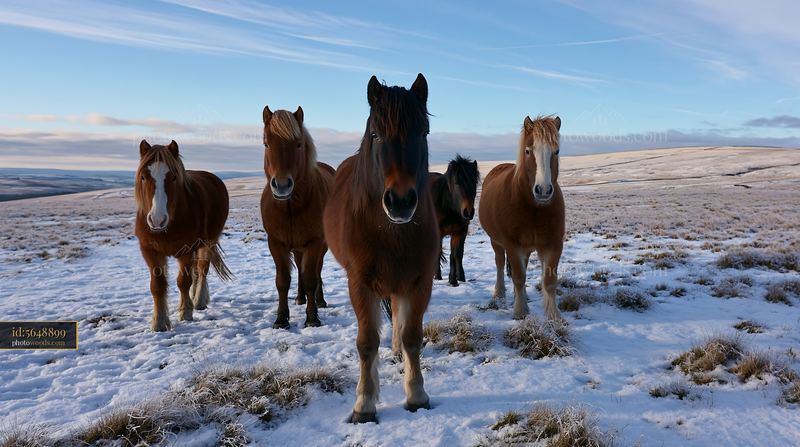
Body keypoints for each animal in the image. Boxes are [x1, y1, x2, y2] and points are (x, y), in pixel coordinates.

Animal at [134, 140, 232, 332]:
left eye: (173, 177)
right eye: (143, 177)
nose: (157, 220)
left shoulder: (186, 250)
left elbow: (183, 282)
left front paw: (185, 312)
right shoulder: (149, 251)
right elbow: (157, 286)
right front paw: (159, 322)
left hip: (208, 242)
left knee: (202, 269)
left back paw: (199, 300)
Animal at [260, 106, 335, 329]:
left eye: (299, 144)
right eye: (266, 143)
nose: (282, 185)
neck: (291, 208)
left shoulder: (314, 243)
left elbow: (311, 278)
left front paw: (312, 318)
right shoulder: (276, 243)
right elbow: (282, 281)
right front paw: (281, 319)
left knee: (317, 271)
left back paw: (320, 300)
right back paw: (300, 298)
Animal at [323, 74, 438, 423]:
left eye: (423, 132)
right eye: (375, 133)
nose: (400, 201)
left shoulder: (419, 280)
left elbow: (413, 335)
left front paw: (416, 395)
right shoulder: (360, 284)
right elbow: (367, 342)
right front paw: (364, 404)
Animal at [429, 155, 480, 286]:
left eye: (474, 182)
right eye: (457, 183)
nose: (468, 212)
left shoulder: (460, 232)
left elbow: (456, 254)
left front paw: (455, 279)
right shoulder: (438, 233)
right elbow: (438, 252)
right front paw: (439, 276)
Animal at [478, 116, 565, 321]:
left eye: (556, 151)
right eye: (528, 151)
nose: (543, 191)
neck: (534, 208)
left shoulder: (554, 244)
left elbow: (549, 280)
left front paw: (554, 315)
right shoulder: (512, 244)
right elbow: (518, 277)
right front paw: (520, 311)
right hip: (496, 242)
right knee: (500, 264)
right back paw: (499, 293)